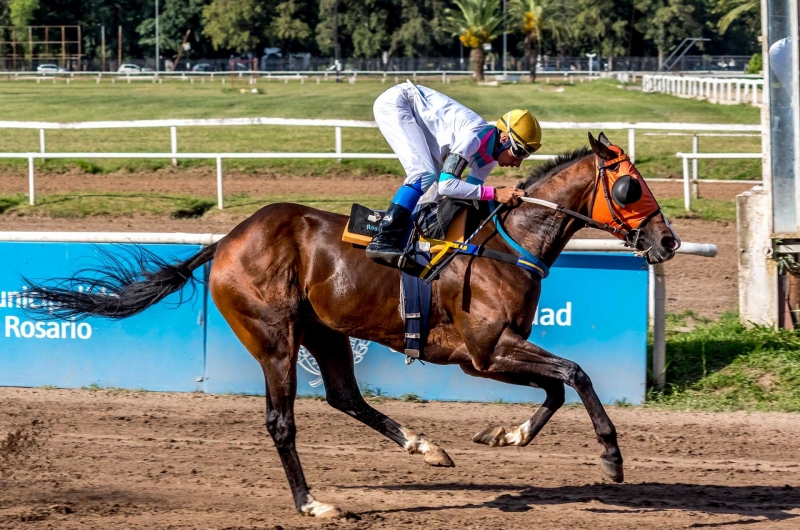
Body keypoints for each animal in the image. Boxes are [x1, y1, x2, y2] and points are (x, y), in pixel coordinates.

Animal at [26, 132, 676, 516]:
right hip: (275, 337)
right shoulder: (485, 352)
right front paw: (611, 457)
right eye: (630, 186)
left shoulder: (493, 351)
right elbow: (576, 373)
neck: (502, 245)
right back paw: (312, 504)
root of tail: (226, 240)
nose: (667, 241)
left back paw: (425, 447)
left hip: (327, 331)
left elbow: (557, 387)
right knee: (281, 422)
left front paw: (505, 435)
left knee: (344, 396)